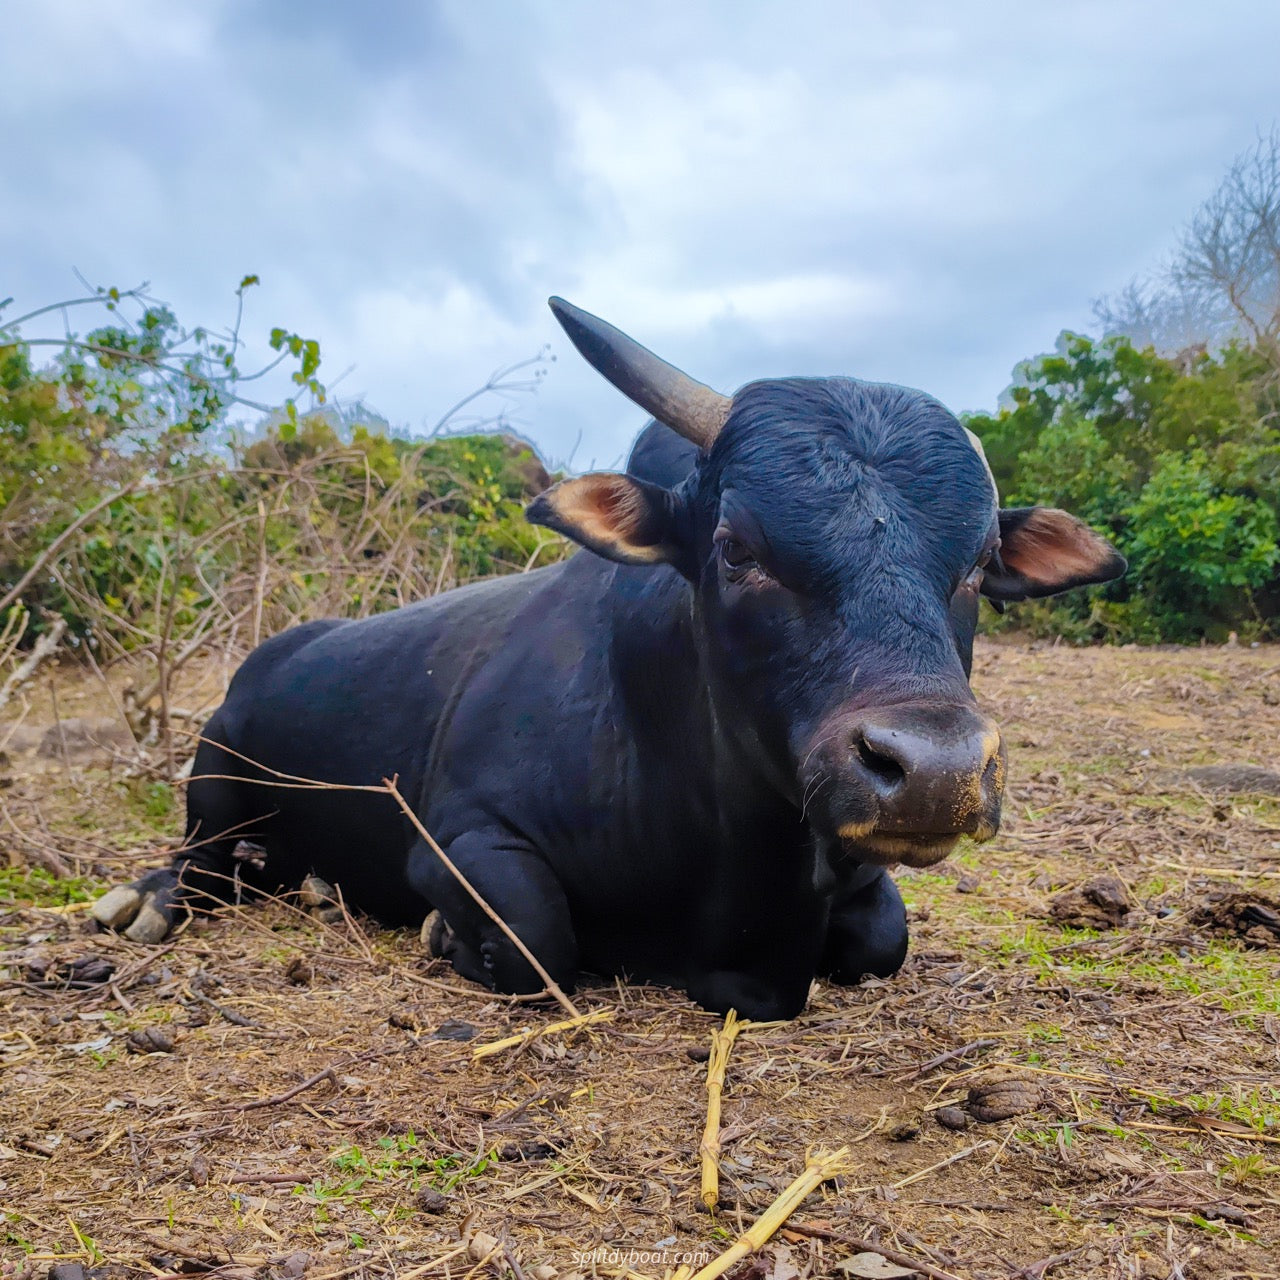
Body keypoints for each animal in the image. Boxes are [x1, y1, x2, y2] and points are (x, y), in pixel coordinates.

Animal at [94, 299, 1126, 1018]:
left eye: (980, 561)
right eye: (735, 548)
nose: (934, 771)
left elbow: (885, 937)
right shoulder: (462, 838)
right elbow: (535, 937)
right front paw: (441, 935)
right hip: (212, 786)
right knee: (201, 863)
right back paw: (146, 898)